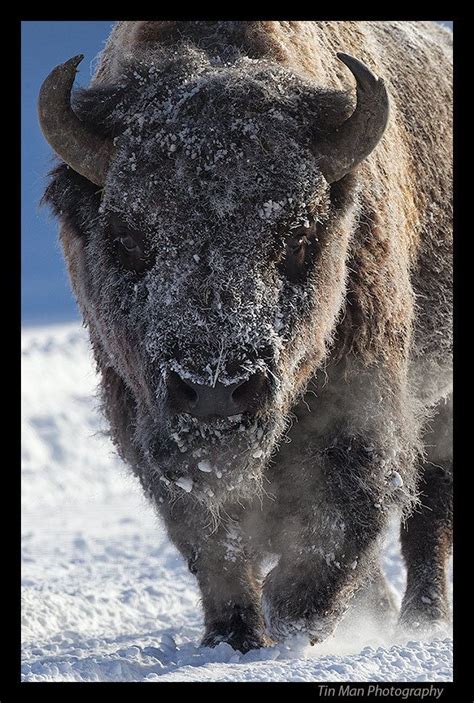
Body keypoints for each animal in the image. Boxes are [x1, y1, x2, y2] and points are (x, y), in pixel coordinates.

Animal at [38, 17, 452, 656]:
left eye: (299, 240)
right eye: (128, 240)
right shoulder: (145, 423)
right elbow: (213, 541)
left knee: (427, 511)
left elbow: (346, 512)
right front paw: (232, 636)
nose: (215, 391)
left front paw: (293, 622)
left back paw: (420, 619)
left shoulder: (361, 407)